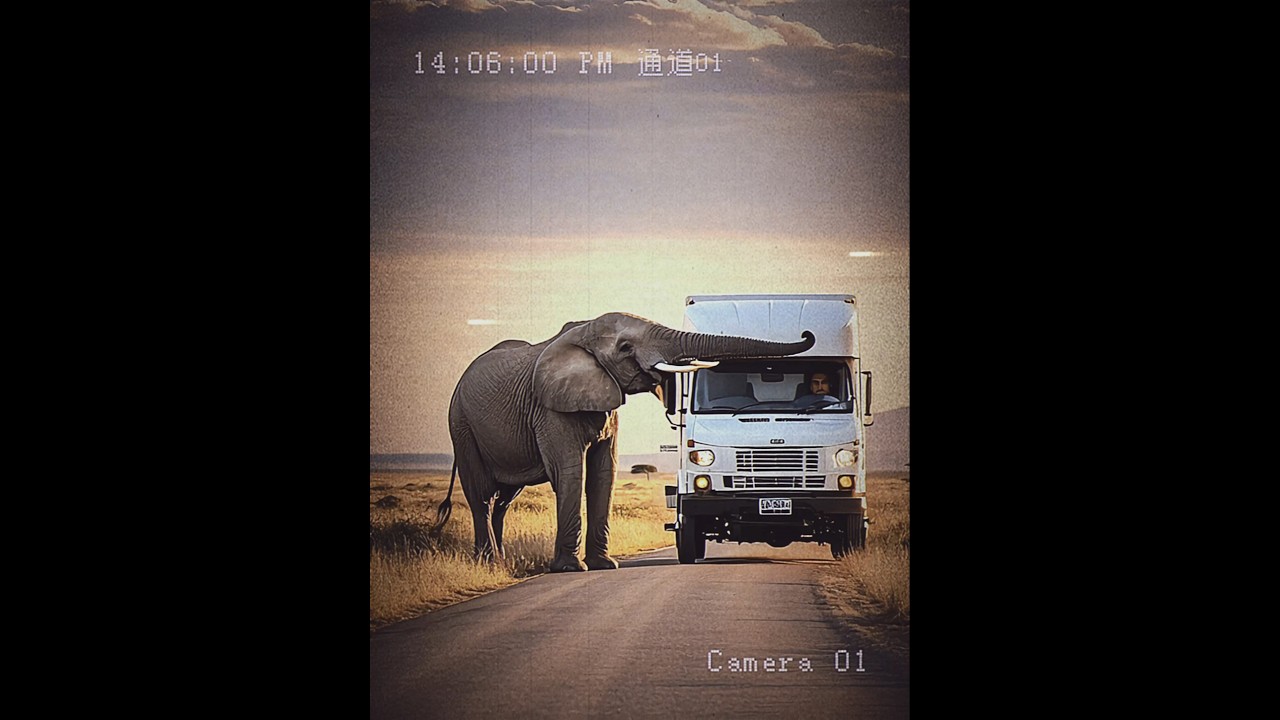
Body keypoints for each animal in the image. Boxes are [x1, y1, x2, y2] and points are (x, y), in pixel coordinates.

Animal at [432, 312, 815, 573]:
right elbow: (571, 473)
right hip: (460, 424)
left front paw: (604, 565)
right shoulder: (549, 409)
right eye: (626, 347)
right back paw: (487, 563)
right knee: (482, 495)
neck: (582, 333)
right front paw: (571, 569)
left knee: (503, 499)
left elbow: (605, 474)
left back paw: (498, 560)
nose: (807, 333)